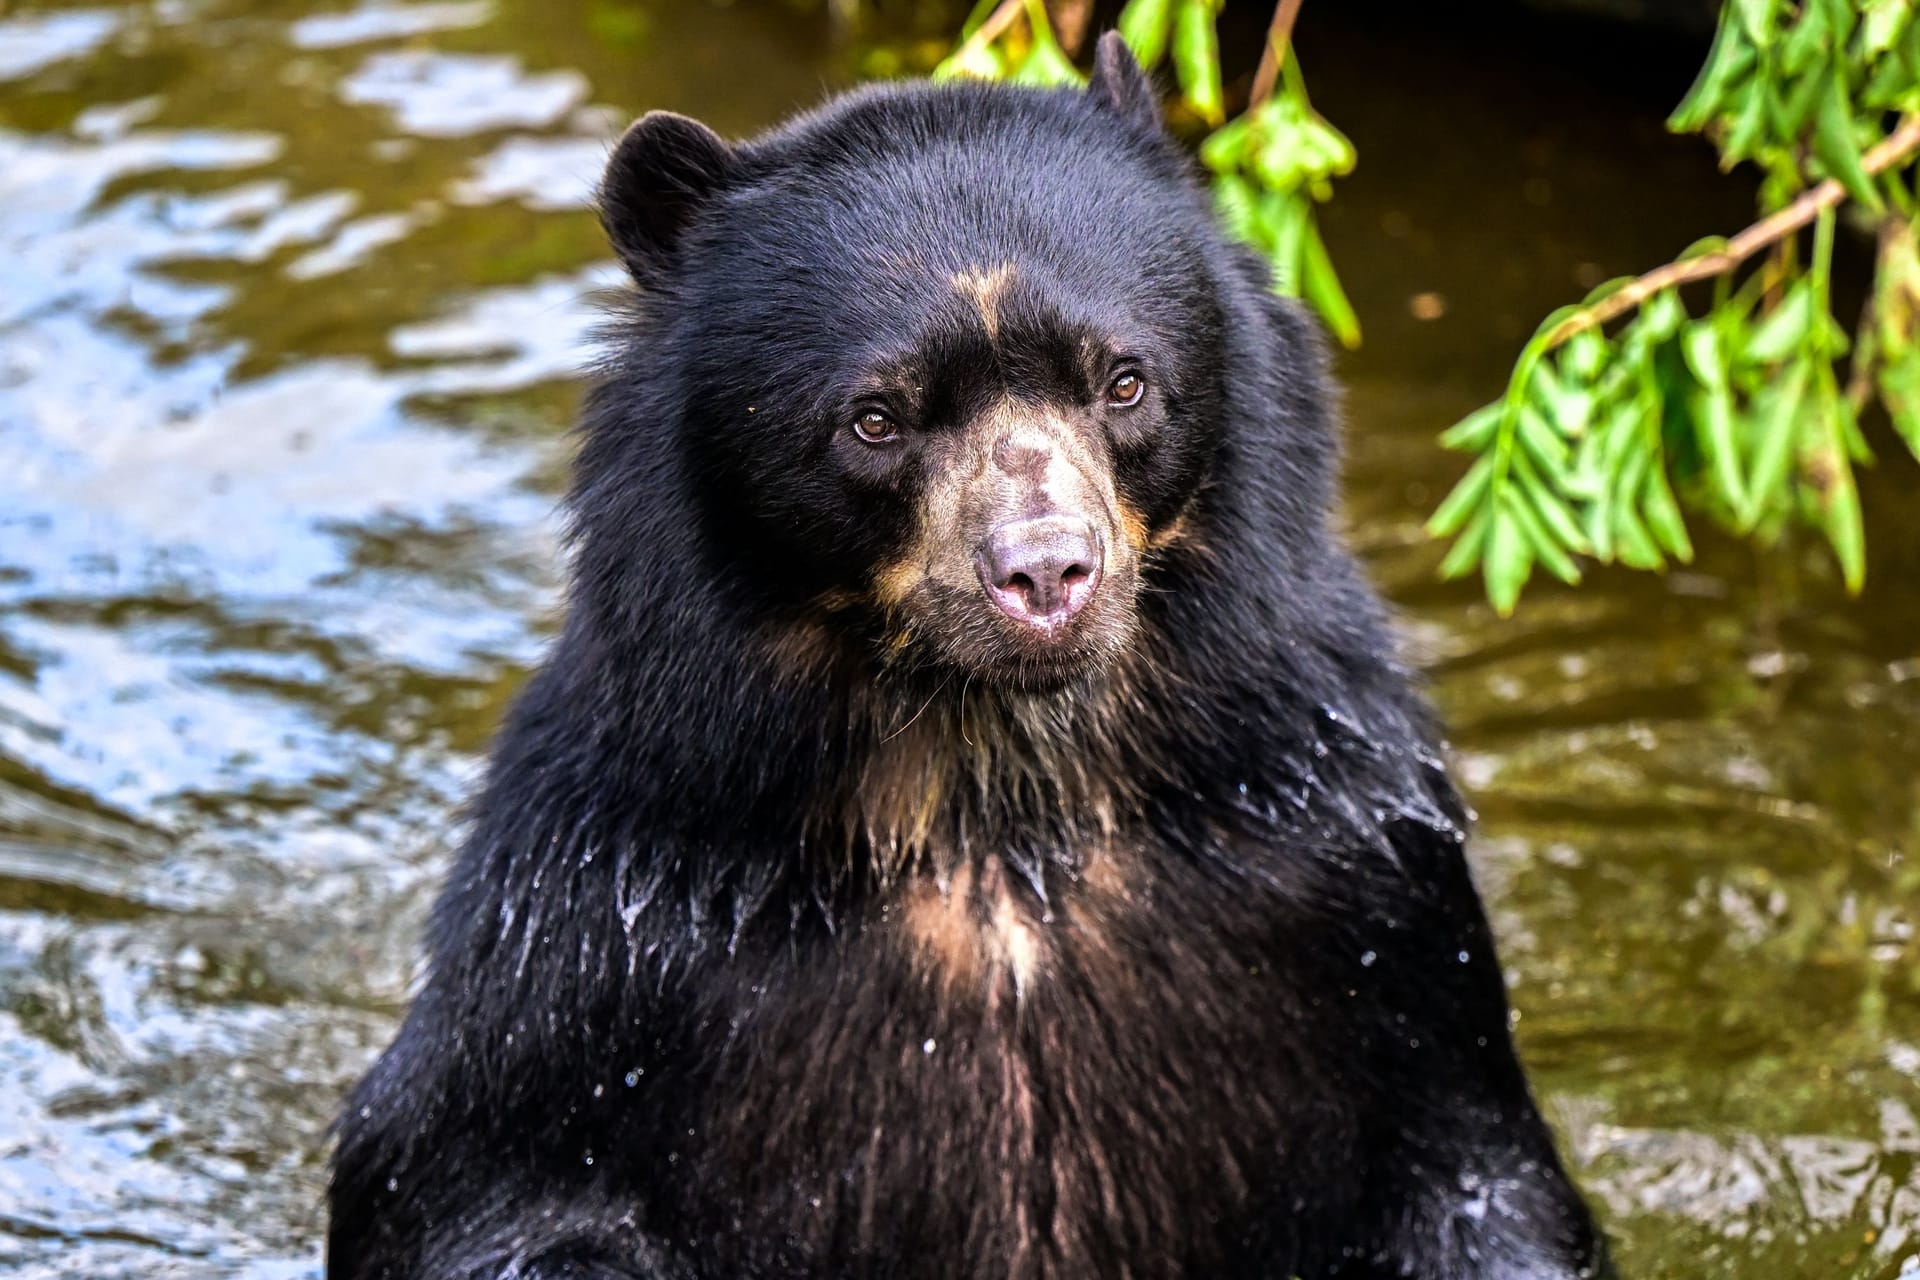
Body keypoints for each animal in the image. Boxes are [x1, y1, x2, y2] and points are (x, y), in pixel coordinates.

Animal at [326, 32, 1605, 1280]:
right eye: (875, 418)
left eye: (1124, 379)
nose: (1045, 574)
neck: (995, 794)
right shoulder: (607, 917)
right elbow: (475, 1182)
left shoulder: (1347, 863)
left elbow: (1471, 1168)